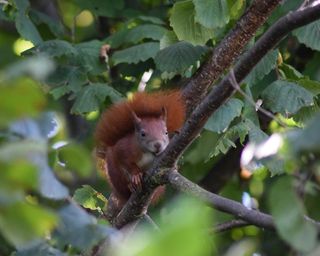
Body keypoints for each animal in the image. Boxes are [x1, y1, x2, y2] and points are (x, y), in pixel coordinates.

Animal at [95, 90, 185, 220]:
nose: (158, 145)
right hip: (116, 175)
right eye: (143, 134)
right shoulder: (122, 149)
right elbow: (126, 162)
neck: (148, 153)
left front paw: (174, 166)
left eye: (166, 132)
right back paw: (130, 187)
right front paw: (136, 174)